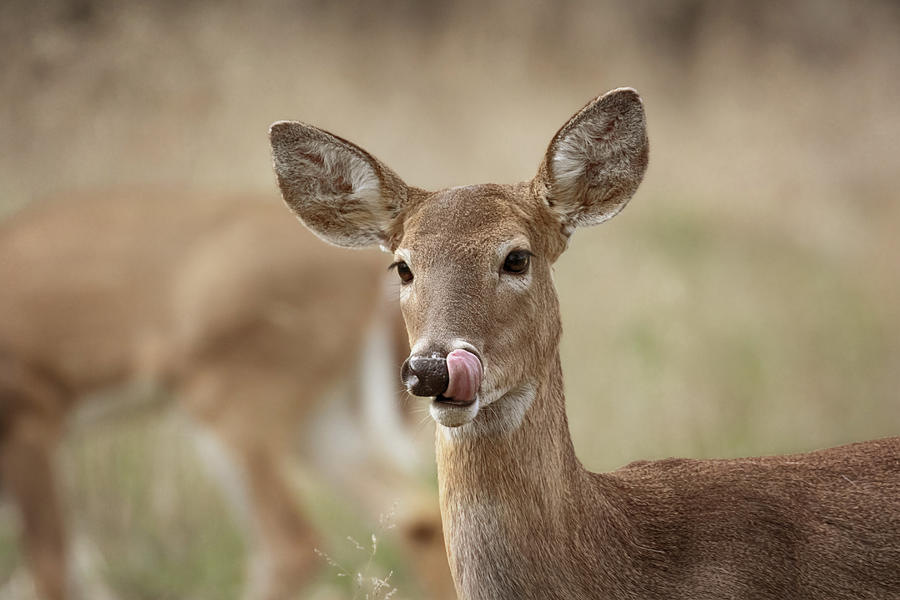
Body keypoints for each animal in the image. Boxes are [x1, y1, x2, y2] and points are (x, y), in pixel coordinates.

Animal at [0, 189, 454, 600]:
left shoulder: (30, 420)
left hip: (229, 411)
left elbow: (52, 567)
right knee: (417, 518)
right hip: (319, 425)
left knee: (290, 545)